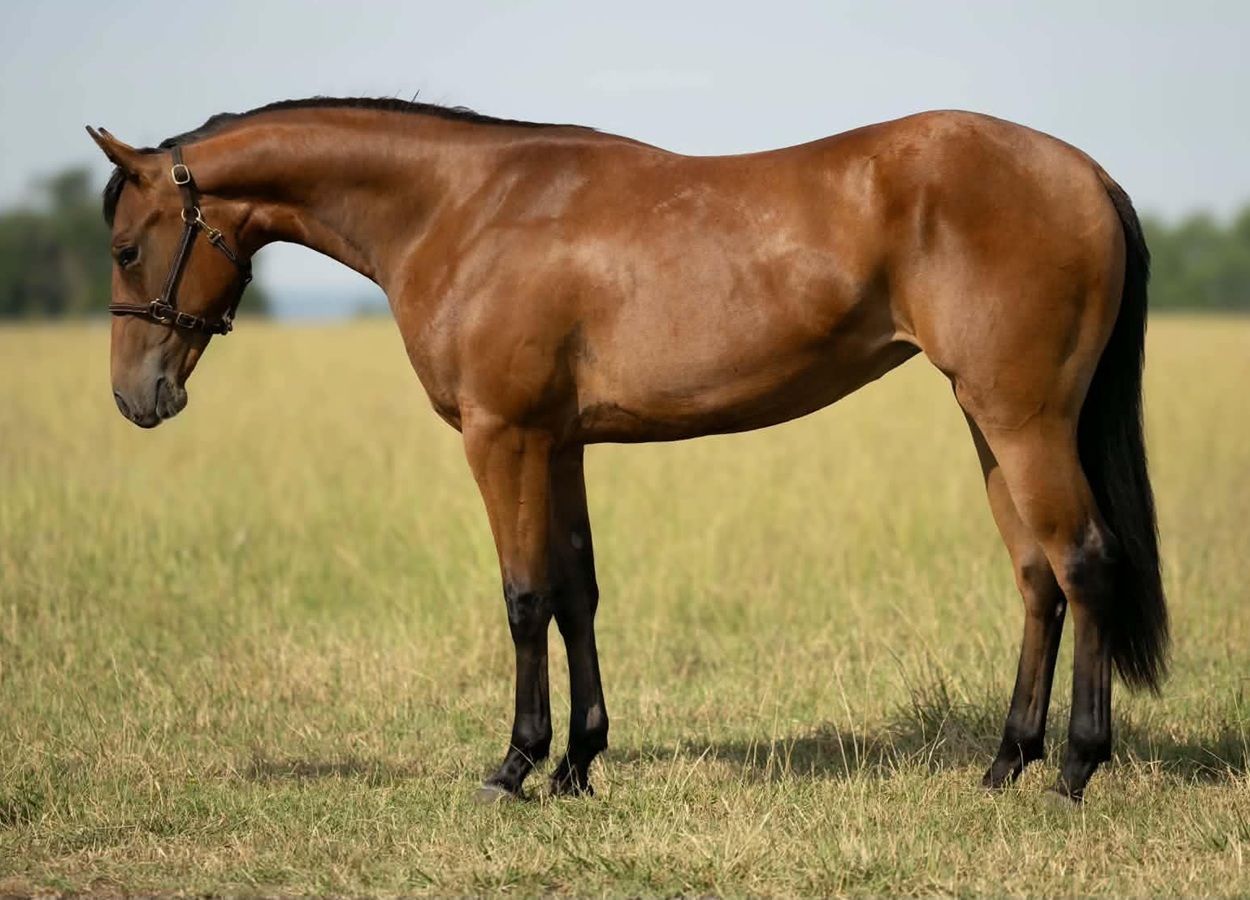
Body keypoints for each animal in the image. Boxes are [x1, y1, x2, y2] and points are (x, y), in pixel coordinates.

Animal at [88, 97, 1167, 803]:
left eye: (128, 249)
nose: (136, 398)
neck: (466, 208)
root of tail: (1087, 174)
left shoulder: (502, 436)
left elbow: (524, 597)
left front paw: (515, 766)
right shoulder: (558, 442)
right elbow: (577, 590)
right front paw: (577, 764)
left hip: (1022, 419)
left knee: (1083, 564)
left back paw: (1073, 769)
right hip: (990, 423)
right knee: (1036, 578)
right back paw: (1003, 763)